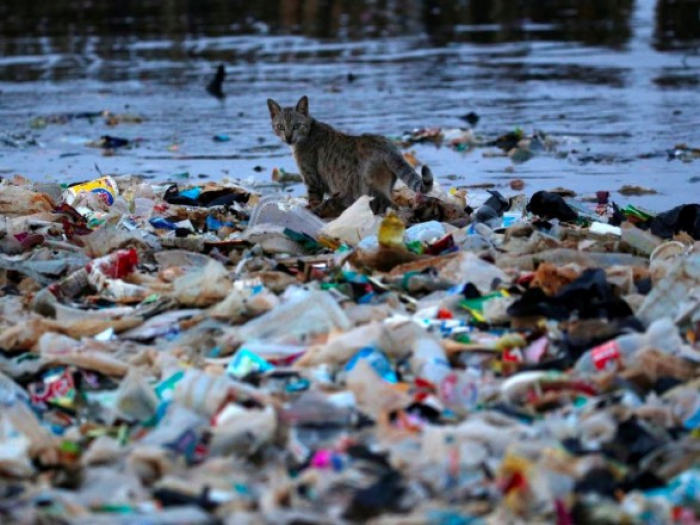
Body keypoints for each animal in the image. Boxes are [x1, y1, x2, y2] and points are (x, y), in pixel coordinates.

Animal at [266, 95, 432, 215]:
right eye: (280, 126)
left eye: (296, 126)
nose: (288, 138)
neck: (309, 131)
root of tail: (388, 145)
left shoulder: (312, 180)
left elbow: (314, 200)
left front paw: (313, 210)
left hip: (370, 188)